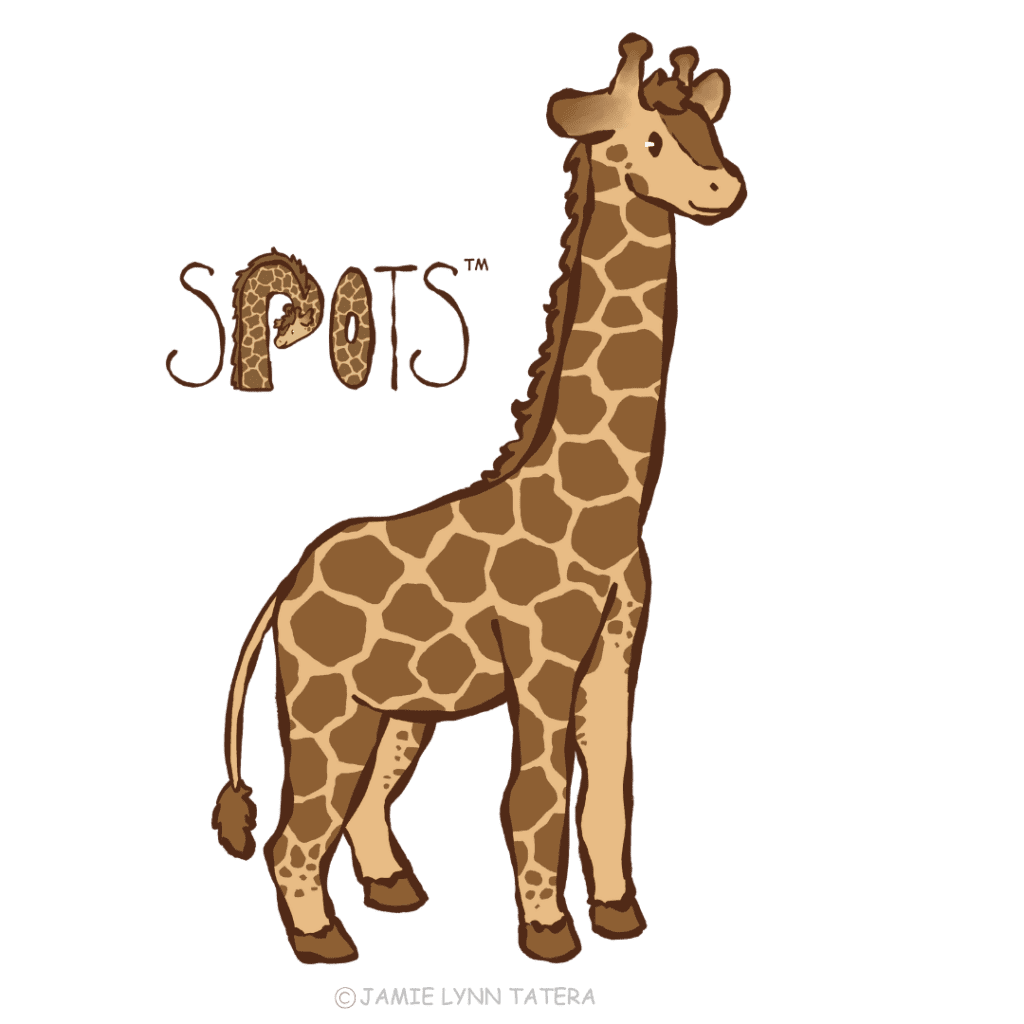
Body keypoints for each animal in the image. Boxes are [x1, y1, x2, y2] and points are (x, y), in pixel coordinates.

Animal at [211, 32, 746, 965]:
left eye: (708, 132)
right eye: (650, 139)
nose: (725, 189)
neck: (607, 504)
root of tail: (284, 588)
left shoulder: (617, 651)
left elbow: (611, 788)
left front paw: (619, 915)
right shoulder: (542, 652)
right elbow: (536, 794)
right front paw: (549, 932)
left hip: (398, 707)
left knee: (365, 803)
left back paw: (392, 890)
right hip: (322, 703)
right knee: (297, 826)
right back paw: (323, 940)